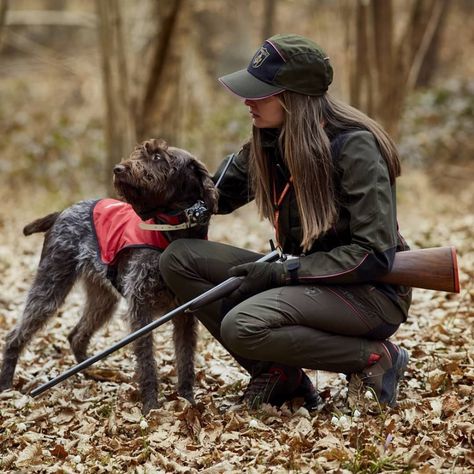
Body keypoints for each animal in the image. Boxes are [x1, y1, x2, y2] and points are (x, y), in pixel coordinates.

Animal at [0, 139, 218, 412]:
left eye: (159, 157)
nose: (119, 169)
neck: (172, 231)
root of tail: (62, 212)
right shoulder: (140, 306)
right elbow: (147, 360)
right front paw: (150, 405)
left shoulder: (185, 314)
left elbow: (186, 359)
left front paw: (188, 400)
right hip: (50, 288)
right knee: (14, 336)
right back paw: (6, 386)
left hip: (103, 300)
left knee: (76, 336)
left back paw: (90, 375)